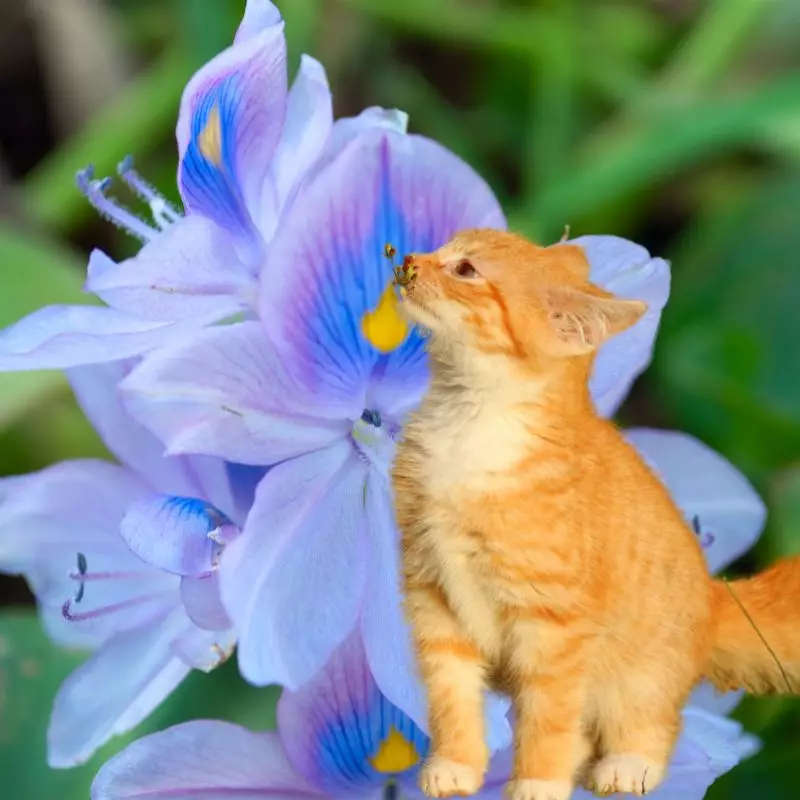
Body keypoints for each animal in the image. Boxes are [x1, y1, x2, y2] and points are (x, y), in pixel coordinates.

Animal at [390, 228, 800, 800]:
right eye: (443, 247)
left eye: (466, 270)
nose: (407, 259)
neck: (468, 424)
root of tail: (713, 596)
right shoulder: (434, 595)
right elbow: (451, 697)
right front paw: (455, 765)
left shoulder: (554, 623)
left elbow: (549, 716)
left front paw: (537, 782)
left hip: (642, 674)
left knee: (654, 721)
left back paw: (628, 765)